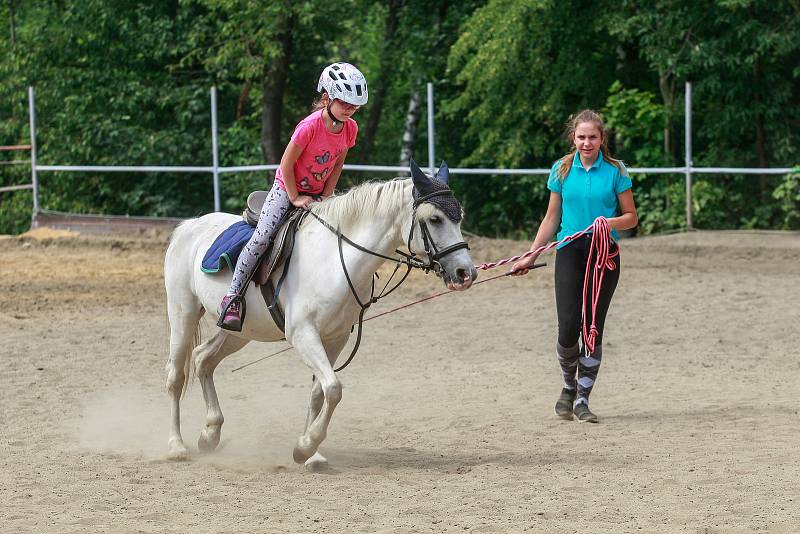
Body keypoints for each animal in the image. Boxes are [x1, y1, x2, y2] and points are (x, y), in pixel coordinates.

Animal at [162, 162, 476, 468]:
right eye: (435, 219)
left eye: (459, 218)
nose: (465, 273)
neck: (334, 260)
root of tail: (189, 226)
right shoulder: (303, 334)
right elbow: (334, 388)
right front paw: (306, 446)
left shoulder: (335, 337)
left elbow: (319, 393)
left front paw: (310, 453)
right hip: (182, 313)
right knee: (176, 375)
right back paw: (176, 447)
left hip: (240, 330)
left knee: (203, 358)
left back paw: (210, 434)